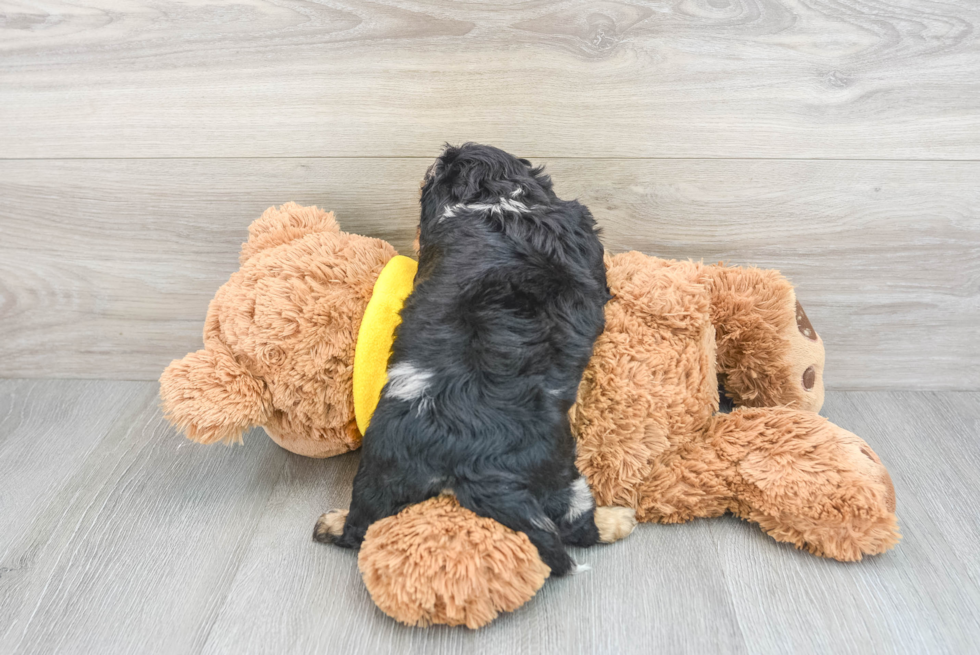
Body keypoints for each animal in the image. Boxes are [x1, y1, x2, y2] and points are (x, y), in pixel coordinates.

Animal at [318, 142, 632, 576]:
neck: (493, 199)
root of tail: (462, 458)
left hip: (383, 472)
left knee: (361, 527)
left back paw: (330, 522)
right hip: (558, 471)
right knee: (577, 525)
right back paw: (618, 519)